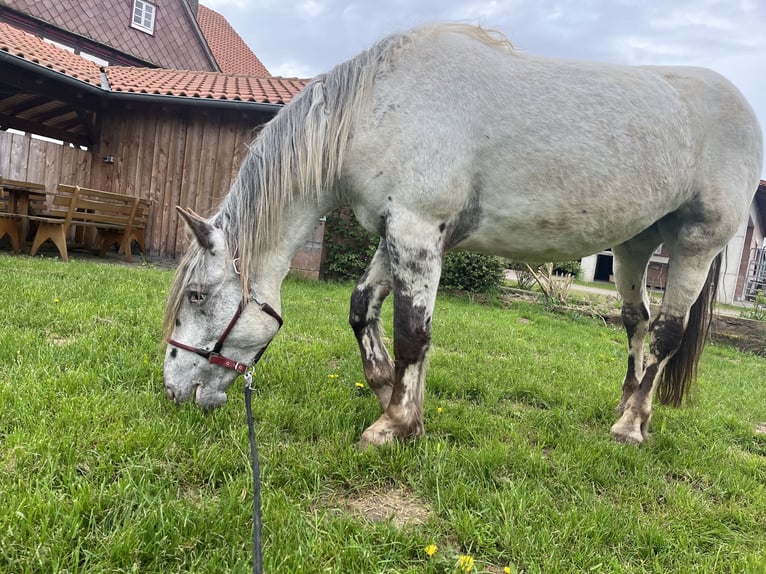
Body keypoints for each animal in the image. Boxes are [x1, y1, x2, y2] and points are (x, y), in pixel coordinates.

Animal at [160, 23, 760, 450]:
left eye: (198, 296)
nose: (173, 389)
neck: (377, 107)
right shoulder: (397, 233)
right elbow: (363, 309)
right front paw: (394, 396)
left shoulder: (417, 229)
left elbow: (411, 332)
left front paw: (393, 425)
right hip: (635, 244)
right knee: (636, 324)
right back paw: (629, 406)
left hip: (696, 245)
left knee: (666, 334)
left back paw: (631, 426)